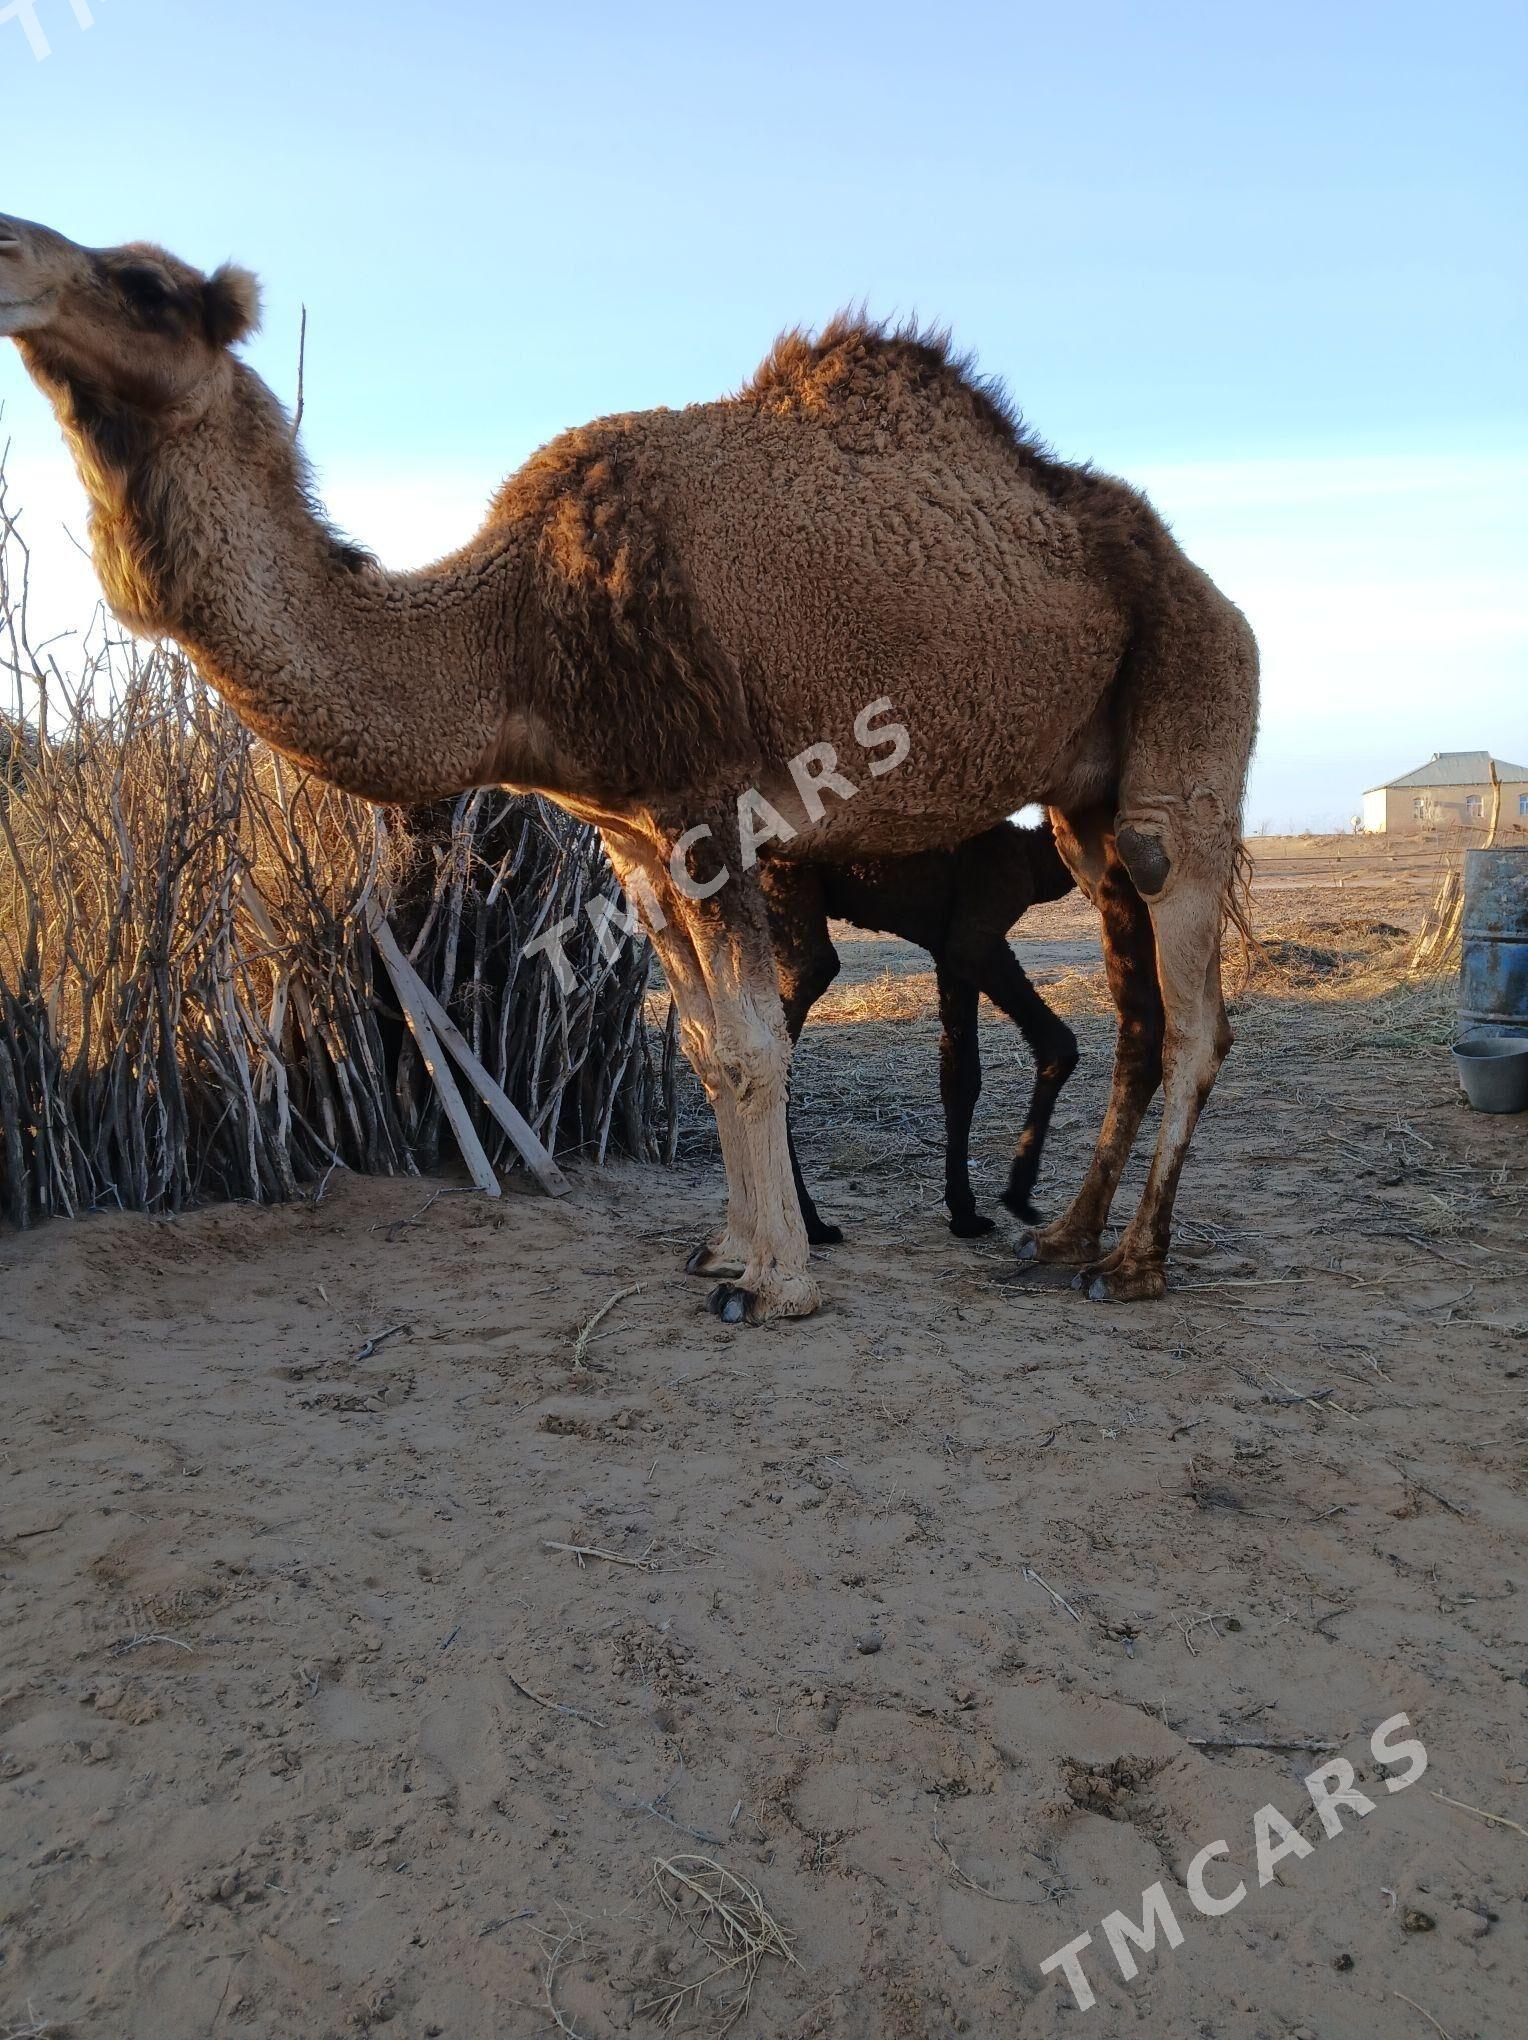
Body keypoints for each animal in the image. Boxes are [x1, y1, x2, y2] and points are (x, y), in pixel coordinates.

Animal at [758, 816, 1068, 1240]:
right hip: (782, 882)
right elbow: (1056, 1044)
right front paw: (1018, 1197)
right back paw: (810, 1223)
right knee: (796, 999)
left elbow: (961, 1077)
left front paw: (965, 1214)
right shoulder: (979, 931)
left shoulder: (949, 949)